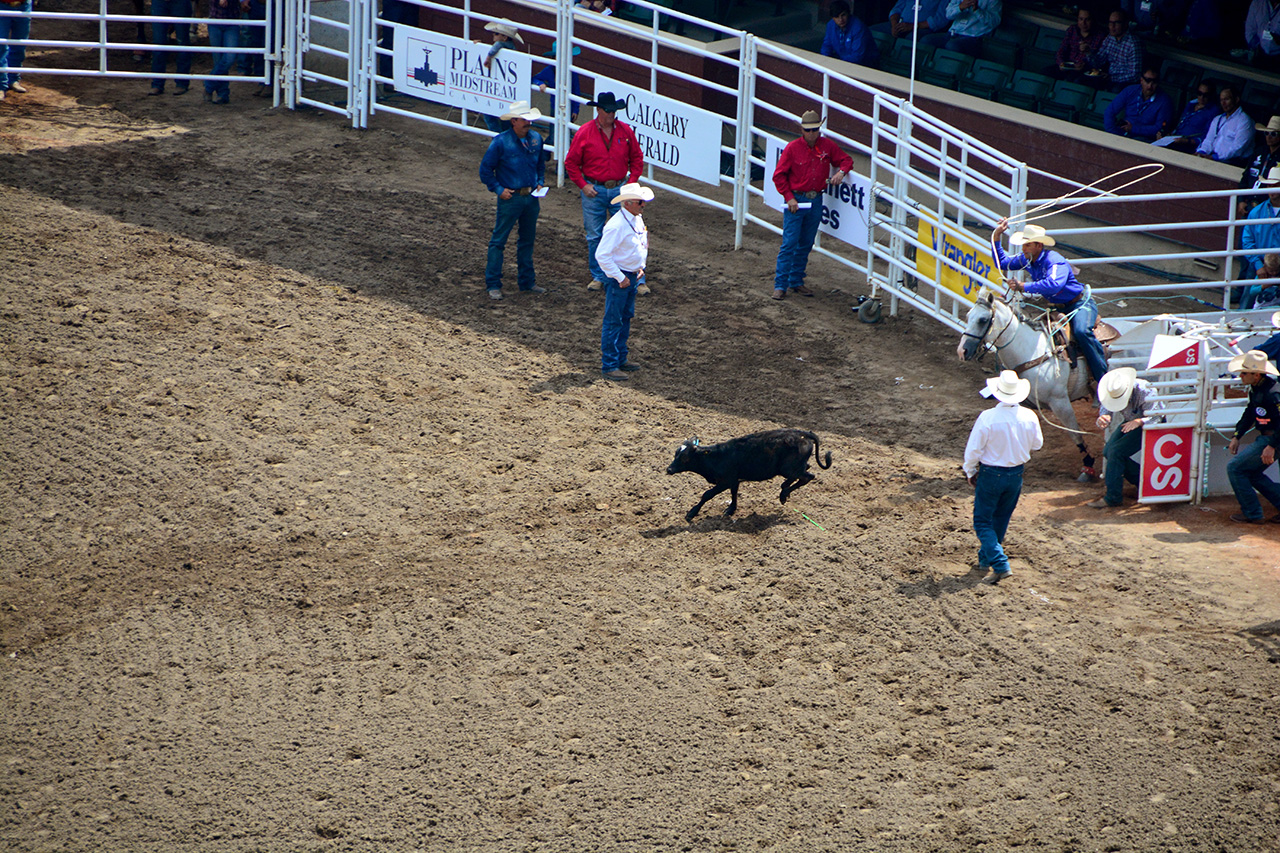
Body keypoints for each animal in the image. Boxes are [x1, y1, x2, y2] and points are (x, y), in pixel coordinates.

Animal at [665, 427, 834, 522]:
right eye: (675, 454)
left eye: (685, 458)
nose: (669, 469)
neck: (716, 457)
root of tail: (803, 434)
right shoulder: (734, 480)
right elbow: (734, 493)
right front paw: (731, 510)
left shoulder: (725, 481)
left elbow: (707, 494)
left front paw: (691, 513)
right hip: (795, 466)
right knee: (806, 472)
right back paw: (785, 491)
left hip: (787, 468)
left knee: (806, 476)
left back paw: (784, 492)